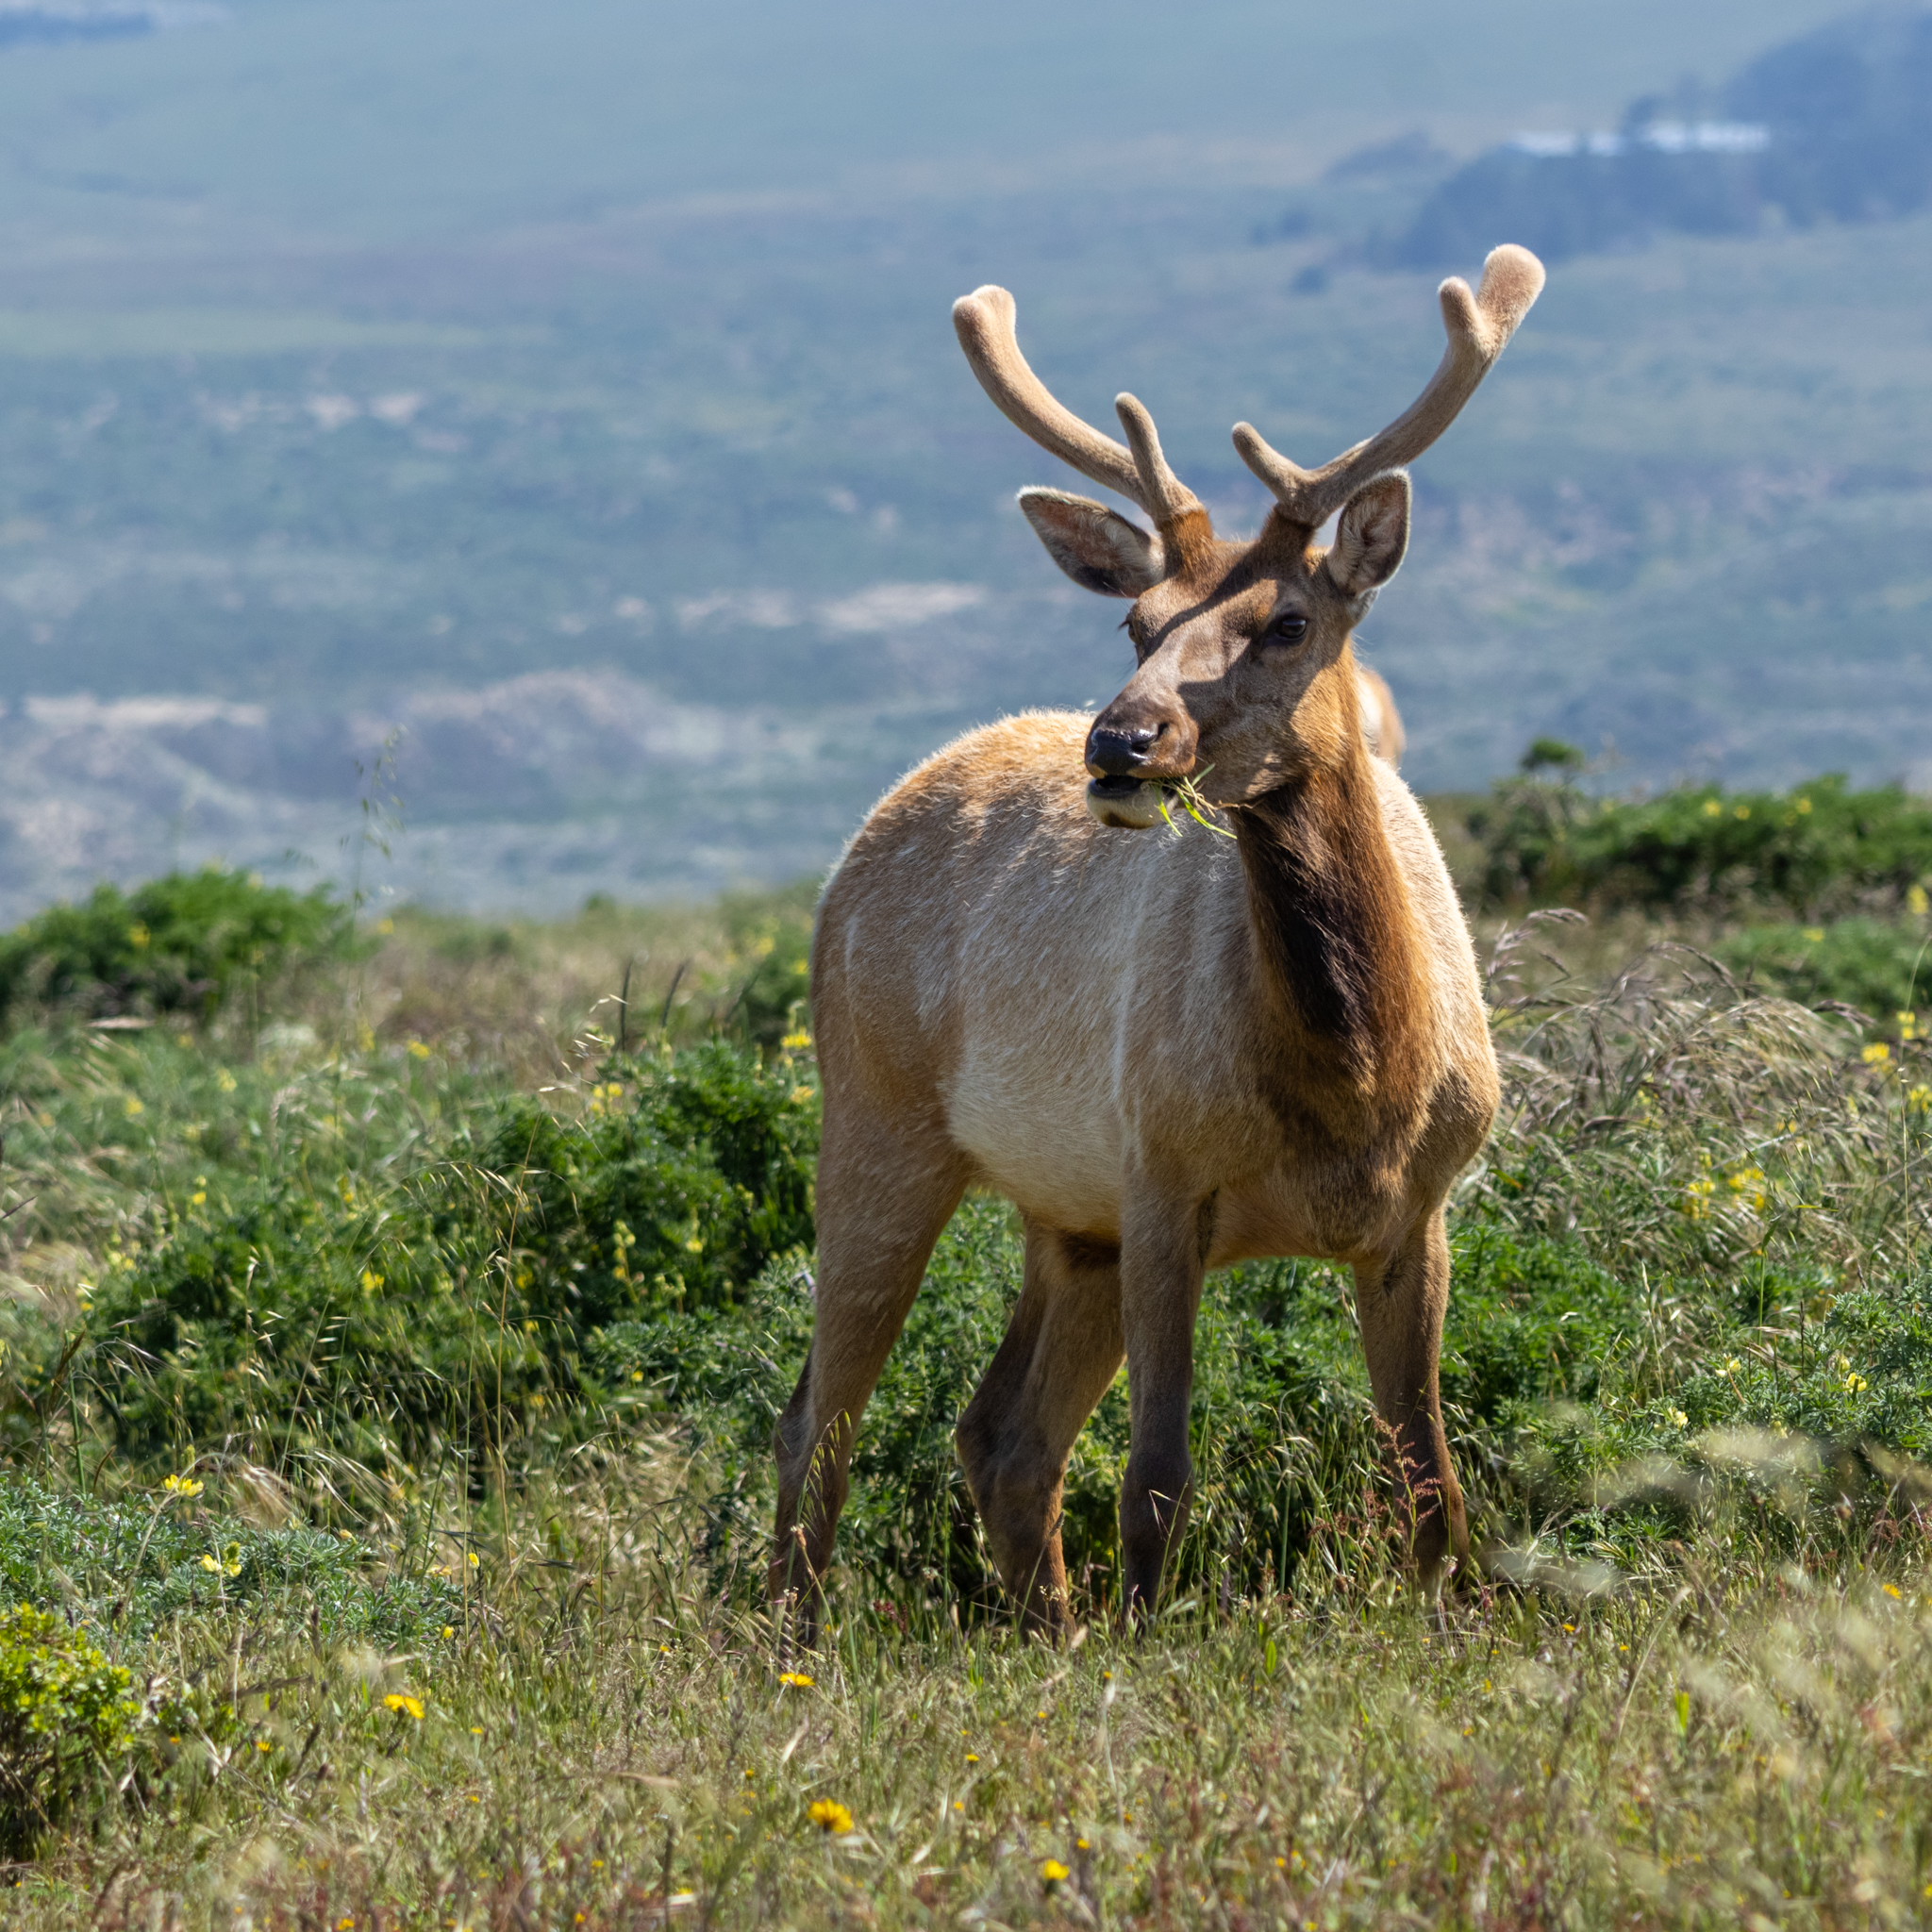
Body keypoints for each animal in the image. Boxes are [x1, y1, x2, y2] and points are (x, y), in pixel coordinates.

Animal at [770, 245, 1544, 1638]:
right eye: (1138, 624)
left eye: (1289, 621)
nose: (1119, 741)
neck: (1353, 1087)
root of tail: (871, 828)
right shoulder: (1160, 1175)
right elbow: (1159, 1471)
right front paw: (1148, 1640)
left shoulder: (1421, 1210)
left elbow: (1431, 1475)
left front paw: (1445, 1626)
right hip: (876, 1112)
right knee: (818, 1415)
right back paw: (785, 1639)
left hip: (1064, 1217)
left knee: (1000, 1433)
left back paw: (1046, 1628)